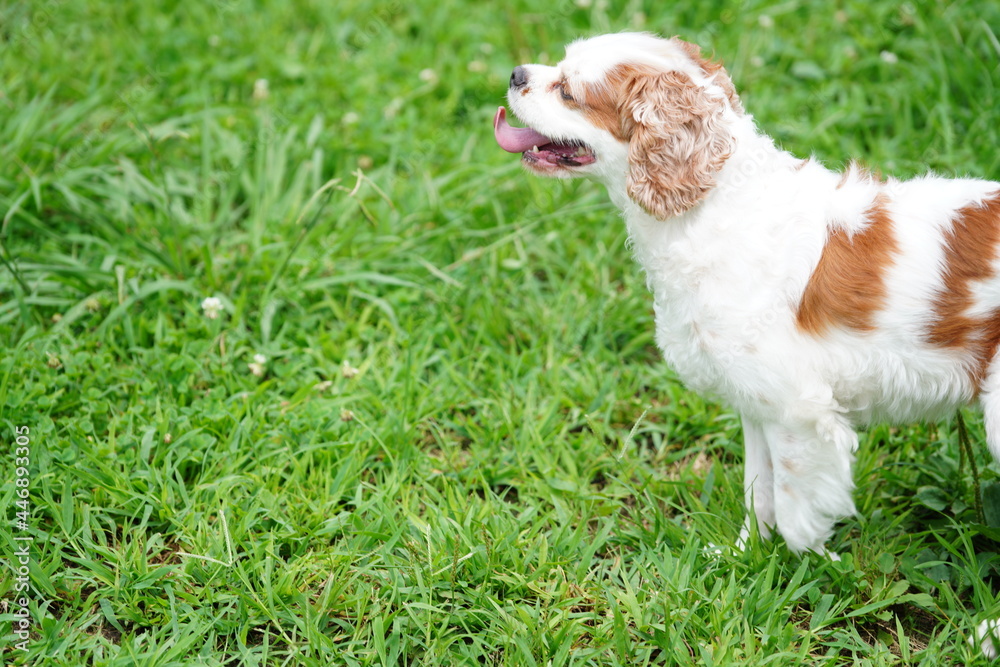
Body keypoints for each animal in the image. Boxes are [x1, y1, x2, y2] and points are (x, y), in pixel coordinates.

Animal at [496, 32, 1000, 656]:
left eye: (569, 90)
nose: (516, 74)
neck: (714, 204)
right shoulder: (759, 406)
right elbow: (759, 491)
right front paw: (746, 559)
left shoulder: (800, 413)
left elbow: (795, 508)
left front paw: (820, 567)